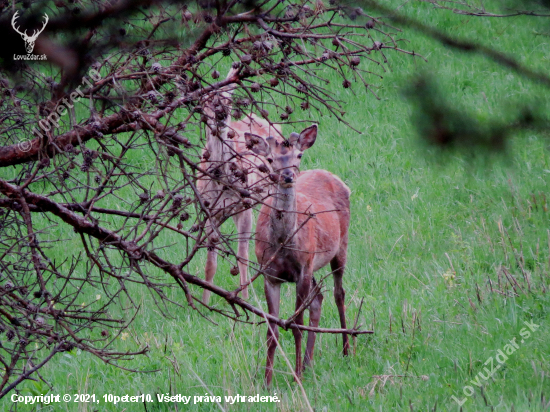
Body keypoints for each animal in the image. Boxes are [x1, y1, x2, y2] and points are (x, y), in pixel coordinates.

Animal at [198, 67, 282, 304]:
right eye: (204, 102)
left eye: (227, 99)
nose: (220, 116)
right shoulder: (209, 210)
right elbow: (210, 262)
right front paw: (205, 301)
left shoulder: (244, 206)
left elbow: (243, 255)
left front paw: (244, 298)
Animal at [247, 124, 352, 386]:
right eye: (270, 158)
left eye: (299, 155)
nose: (288, 176)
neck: (283, 244)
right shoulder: (270, 274)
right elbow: (272, 331)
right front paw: (267, 381)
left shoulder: (302, 269)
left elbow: (296, 325)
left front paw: (296, 378)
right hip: (314, 262)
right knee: (318, 298)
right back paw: (308, 362)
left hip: (339, 247)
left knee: (338, 294)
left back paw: (346, 350)